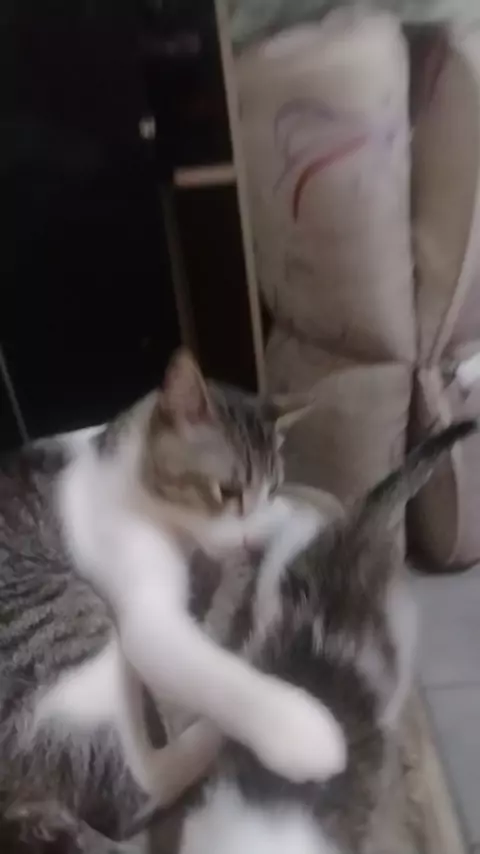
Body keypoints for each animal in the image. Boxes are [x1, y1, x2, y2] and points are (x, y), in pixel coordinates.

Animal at [0, 349, 344, 850]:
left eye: (273, 488)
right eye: (226, 491)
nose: (245, 540)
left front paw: (281, 518)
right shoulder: (149, 622)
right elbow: (220, 679)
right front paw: (305, 730)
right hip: (72, 637)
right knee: (135, 789)